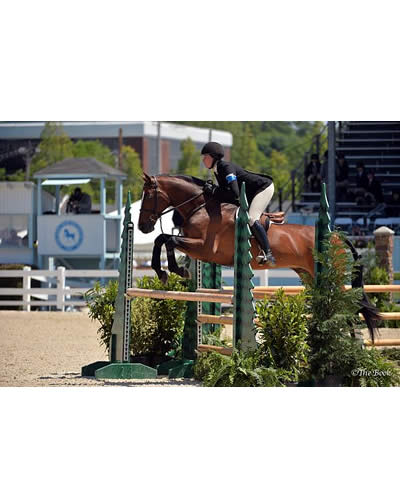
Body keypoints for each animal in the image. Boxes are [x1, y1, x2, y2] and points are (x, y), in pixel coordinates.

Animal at [139, 173, 380, 340]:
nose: (142, 227)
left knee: (345, 304)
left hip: (331, 275)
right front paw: (163, 271)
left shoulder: (203, 248)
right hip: (309, 276)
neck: (202, 207)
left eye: (148, 196)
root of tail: (336, 235)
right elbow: (162, 238)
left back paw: (350, 344)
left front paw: (175, 270)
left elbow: (168, 239)